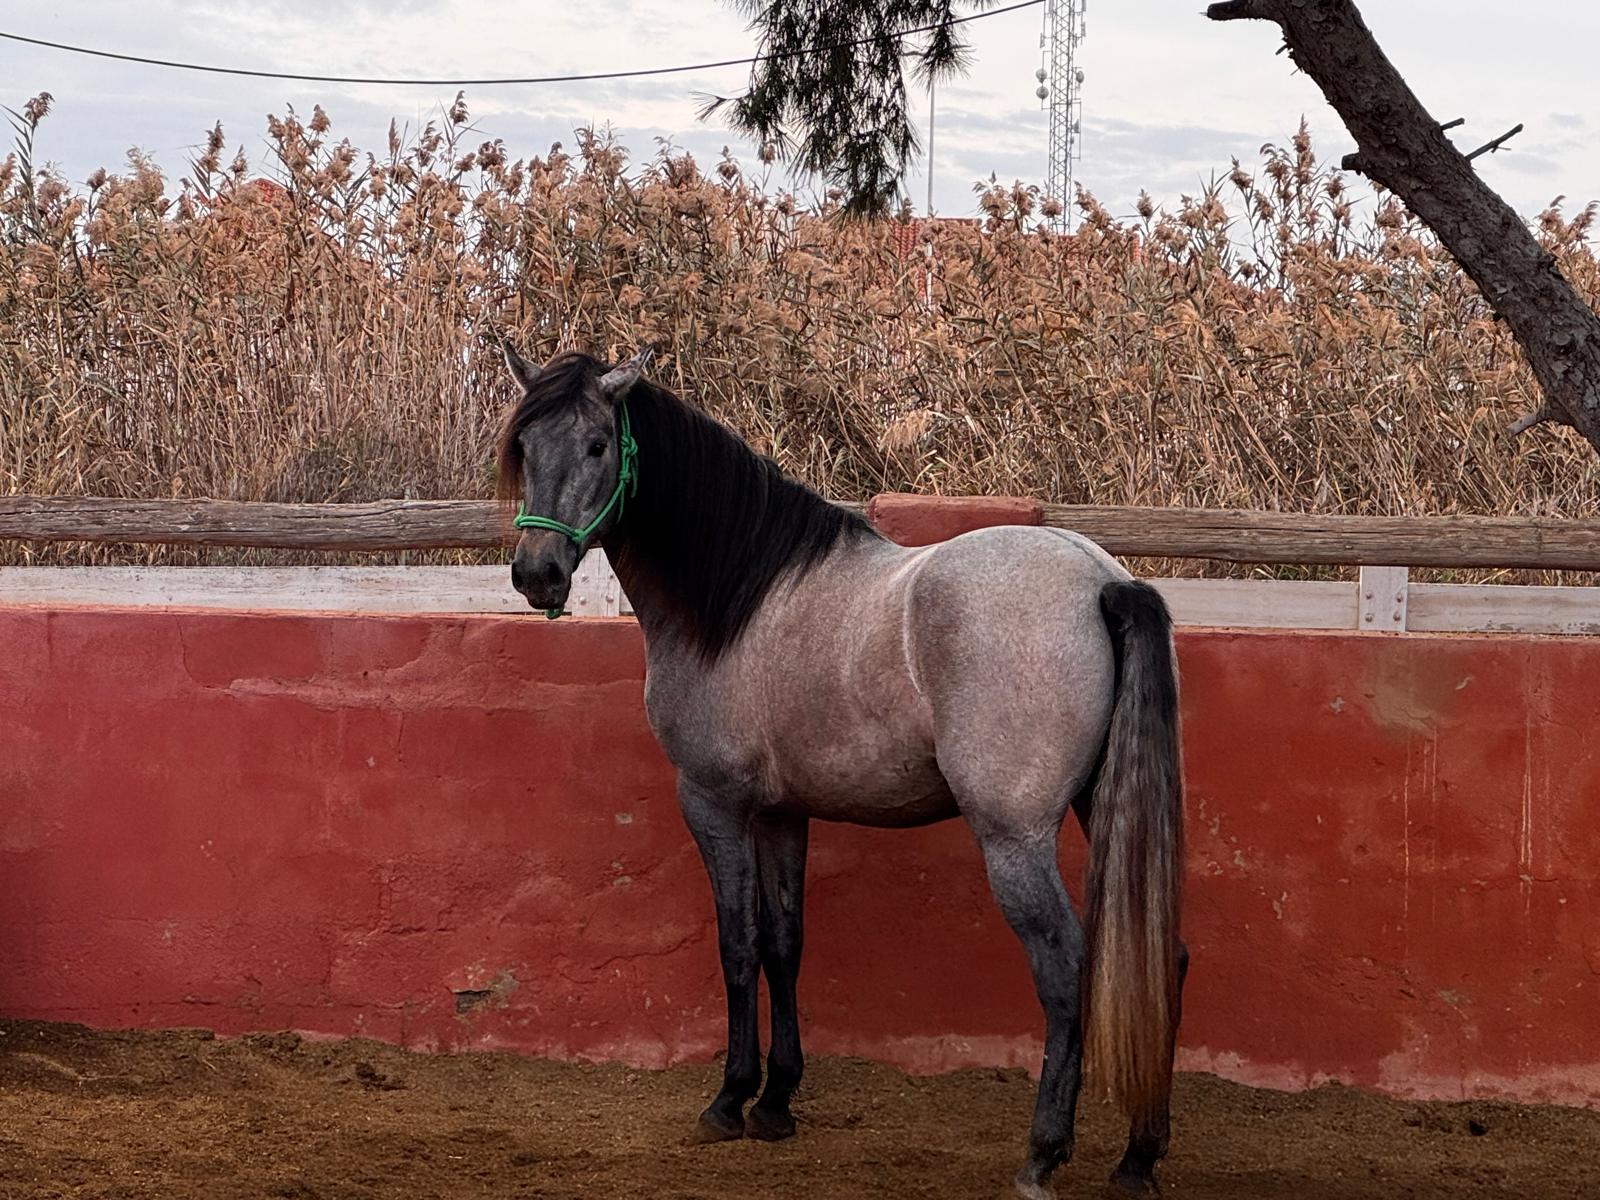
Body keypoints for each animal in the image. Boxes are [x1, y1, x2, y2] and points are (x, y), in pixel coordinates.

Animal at [495, 346, 1187, 1199]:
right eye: (526, 448)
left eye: (597, 445)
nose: (538, 573)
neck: (740, 600)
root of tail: (1100, 579)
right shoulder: (783, 812)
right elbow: (785, 943)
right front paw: (775, 1102)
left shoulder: (715, 803)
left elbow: (737, 945)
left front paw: (728, 1101)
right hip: (1102, 806)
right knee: (1165, 957)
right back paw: (1138, 1155)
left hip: (1014, 837)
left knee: (1066, 967)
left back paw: (1041, 1155)